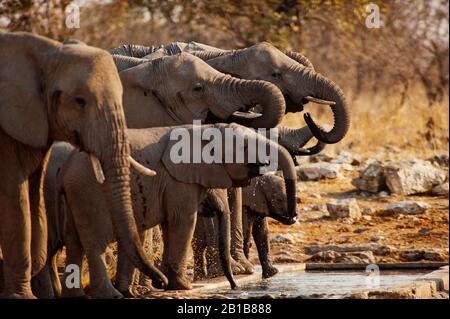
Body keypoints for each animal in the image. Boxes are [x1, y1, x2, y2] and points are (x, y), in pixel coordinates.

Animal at [0, 32, 165, 300]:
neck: (47, 54)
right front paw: (21, 296)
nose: (161, 282)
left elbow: (33, 198)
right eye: (80, 101)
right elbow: (15, 199)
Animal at [57, 124, 298, 298]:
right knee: (94, 243)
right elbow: (183, 220)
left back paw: (118, 292)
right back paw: (114, 293)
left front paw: (169, 283)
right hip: (89, 190)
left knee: (77, 242)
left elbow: (168, 224)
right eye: (245, 148)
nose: (234, 286)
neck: (204, 130)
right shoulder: (178, 181)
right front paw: (183, 286)